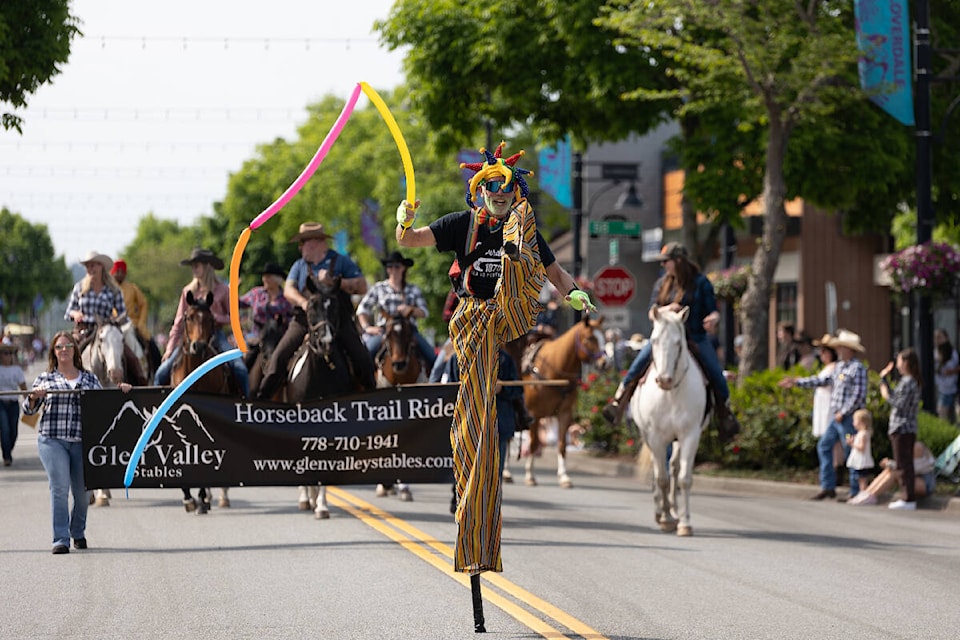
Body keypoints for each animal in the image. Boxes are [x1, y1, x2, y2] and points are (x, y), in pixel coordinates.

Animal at [520, 314, 604, 484]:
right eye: (590, 338)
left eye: (604, 336)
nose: (605, 362)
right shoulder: (534, 414)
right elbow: (533, 443)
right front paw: (530, 474)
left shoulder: (565, 413)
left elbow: (562, 444)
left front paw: (564, 475)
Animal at [628, 308, 708, 536]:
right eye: (654, 340)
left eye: (679, 343)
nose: (664, 380)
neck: (671, 394)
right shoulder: (656, 437)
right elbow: (661, 478)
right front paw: (664, 518)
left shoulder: (690, 435)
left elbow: (684, 478)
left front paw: (684, 522)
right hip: (650, 438)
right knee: (659, 471)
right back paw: (661, 511)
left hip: (676, 440)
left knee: (673, 467)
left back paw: (673, 509)